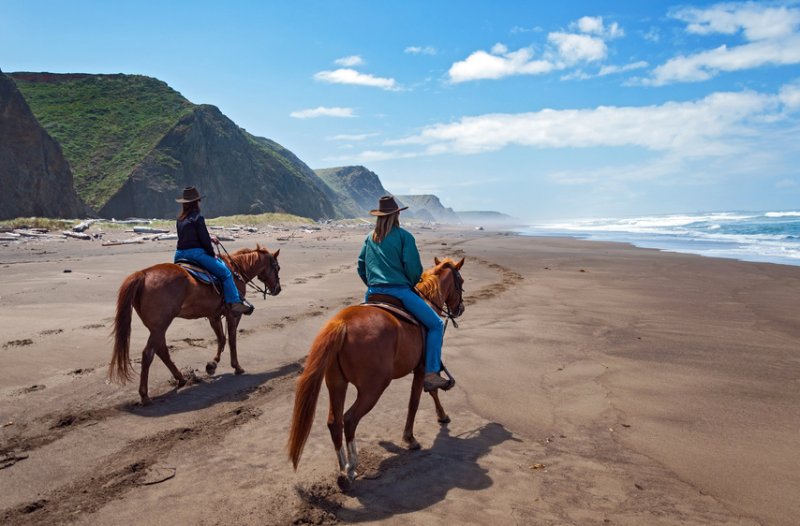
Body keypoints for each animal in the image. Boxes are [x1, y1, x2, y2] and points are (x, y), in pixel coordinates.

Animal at [106, 245, 282, 406]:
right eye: (277, 267)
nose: (278, 289)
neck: (236, 270)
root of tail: (142, 274)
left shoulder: (214, 316)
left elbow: (221, 338)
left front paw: (212, 365)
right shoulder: (233, 314)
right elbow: (231, 339)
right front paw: (236, 366)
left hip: (157, 327)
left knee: (162, 350)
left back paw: (181, 379)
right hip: (160, 326)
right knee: (148, 354)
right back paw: (145, 395)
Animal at [288, 256, 466, 490]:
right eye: (460, 282)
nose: (460, 308)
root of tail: (342, 323)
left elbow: (430, 392)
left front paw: (442, 416)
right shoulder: (421, 369)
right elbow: (417, 400)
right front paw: (411, 438)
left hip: (336, 384)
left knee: (334, 422)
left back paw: (343, 471)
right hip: (373, 388)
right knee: (350, 419)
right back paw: (351, 468)